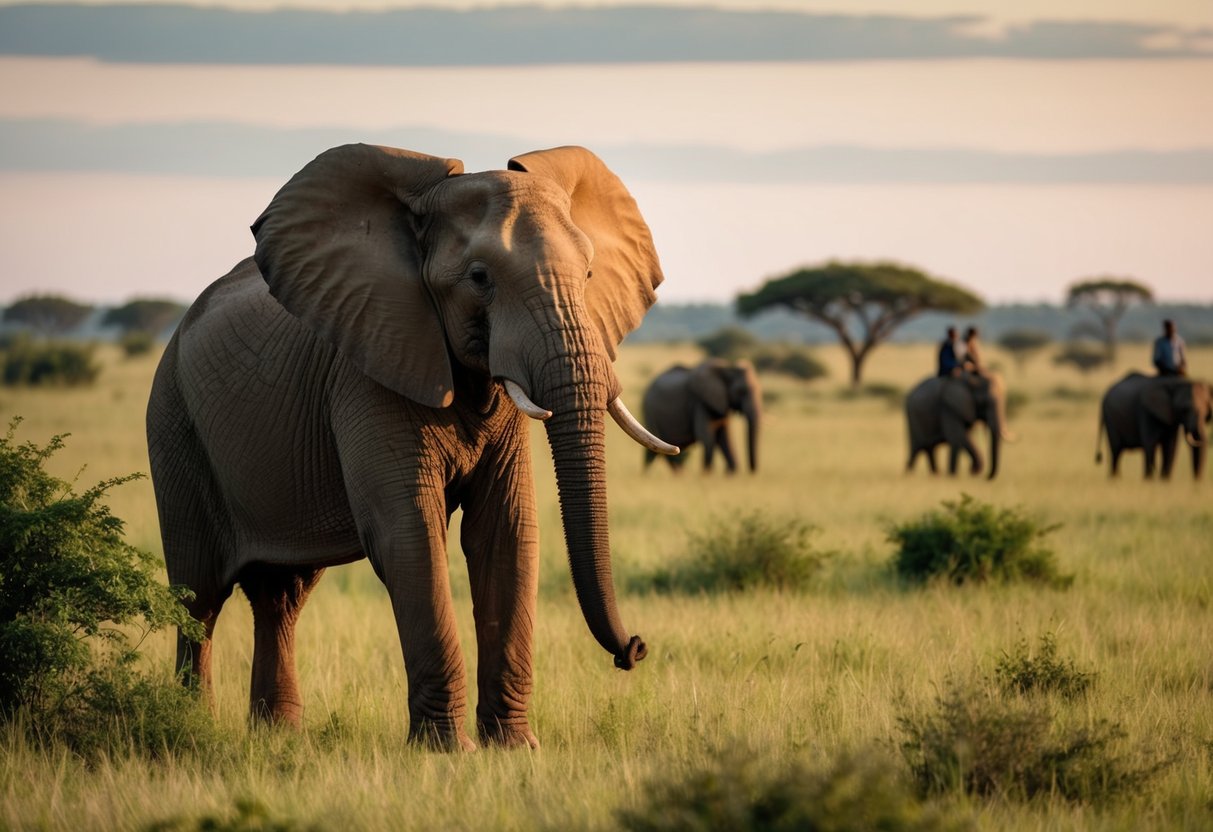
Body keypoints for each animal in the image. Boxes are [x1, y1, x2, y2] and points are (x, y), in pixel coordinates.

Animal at [145, 144, 679, 756]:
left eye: (589, 274)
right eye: (479, 278)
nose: (635, 649)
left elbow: (506, 531)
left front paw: (514, 748)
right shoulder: (368, 369)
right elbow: (409, 533)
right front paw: (449, 752)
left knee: (281, 597)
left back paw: (278, 738)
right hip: (173, 421)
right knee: (199, 597)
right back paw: (192, 727)